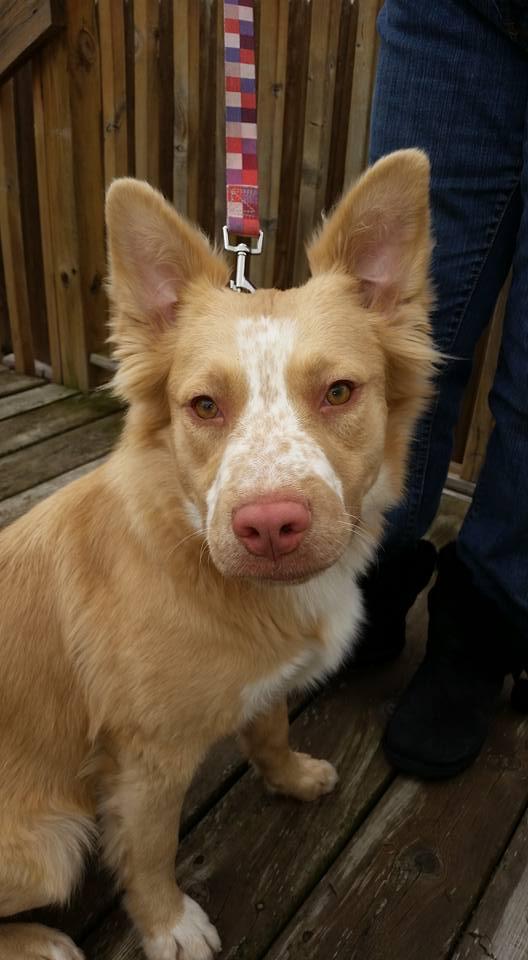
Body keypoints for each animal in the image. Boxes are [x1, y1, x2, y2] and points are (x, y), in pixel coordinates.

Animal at [0, 152, 436, 960]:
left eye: (339, 392)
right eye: (204, 406)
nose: (270, 526)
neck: (192, 545)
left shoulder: (263, 687)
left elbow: (270, 727)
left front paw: (291, 777)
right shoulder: (144, 762)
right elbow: (149, 852)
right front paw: (170, 927)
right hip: (47, 849)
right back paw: (42, 941)